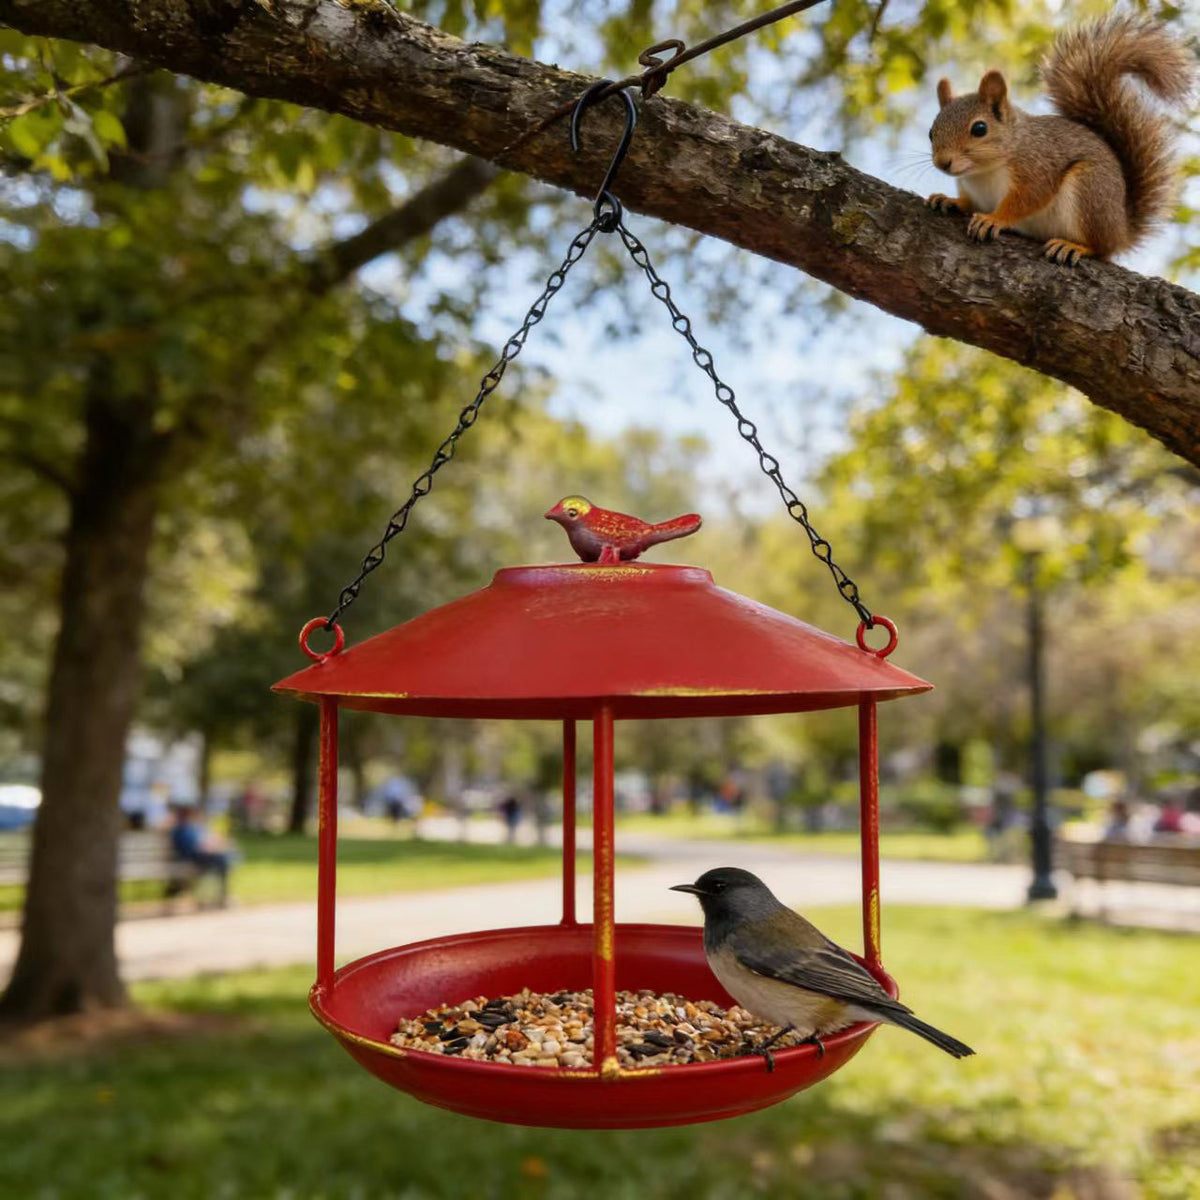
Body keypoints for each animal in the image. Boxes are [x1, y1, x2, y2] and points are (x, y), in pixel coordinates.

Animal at [926, 14, 1195, 265]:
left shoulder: (1038, 168)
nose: (942, 162)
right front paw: (950, 200)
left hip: (1090, 191)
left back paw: (1074, 246)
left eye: (980, 128)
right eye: (931, 132)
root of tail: (1121, 230)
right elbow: (969, 202)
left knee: (1101, 249)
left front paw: (994, 218)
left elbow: (1028, 199)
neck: (982, 173)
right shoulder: (972, 190)